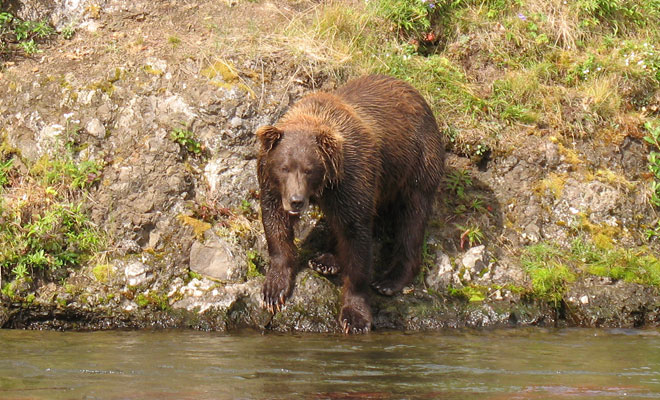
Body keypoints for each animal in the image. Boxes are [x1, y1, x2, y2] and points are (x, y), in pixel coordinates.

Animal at [256, 74, 444, 334]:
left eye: (309, 169)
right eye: (284, 167)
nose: (296, 201)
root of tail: (417, 94)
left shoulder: (352, 178)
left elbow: (356, 237)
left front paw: (355, 317)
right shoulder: (274, 185)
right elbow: (276, 222)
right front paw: (273, 291)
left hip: (417, 162)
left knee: (412, 218)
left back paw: (389, 280)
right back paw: (325, 261)